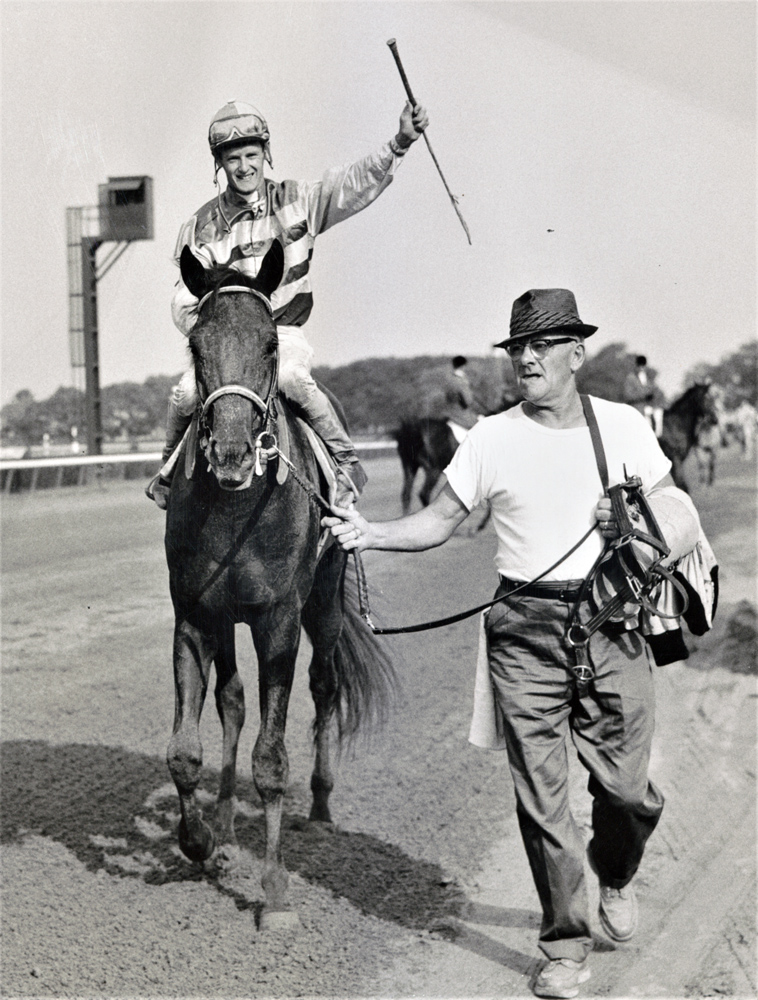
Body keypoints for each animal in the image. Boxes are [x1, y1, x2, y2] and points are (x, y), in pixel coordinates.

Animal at [163, 242, 394, 928]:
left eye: (269, 343)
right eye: (196, 346)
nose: (232, 455)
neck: (236, 508)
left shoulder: (279, 620)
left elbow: (271, 758)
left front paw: (274, 890)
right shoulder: (195, 615)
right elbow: (185, 749)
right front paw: (200, 839)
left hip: (324, 601)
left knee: (324, 687)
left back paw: (318, 806)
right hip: (225, 620)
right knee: (233, 703)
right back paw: (222, 826)